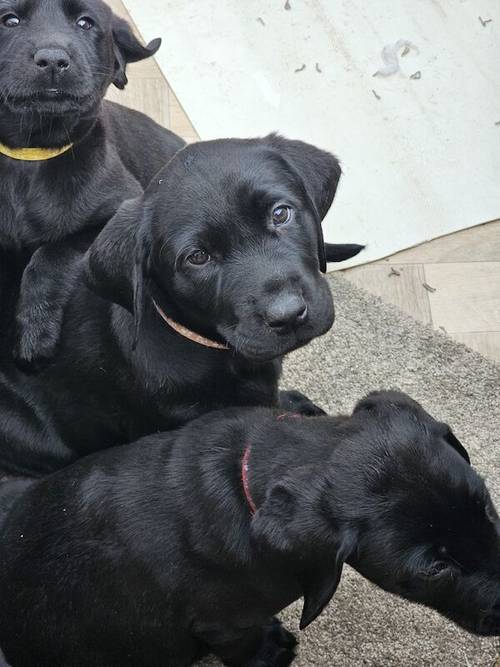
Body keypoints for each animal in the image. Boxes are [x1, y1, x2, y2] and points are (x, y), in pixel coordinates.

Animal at [0, 0, 184, 368]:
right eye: (9, 20)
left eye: (86, 23)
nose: (53, 60)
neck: (28, 155)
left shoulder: (121, 213)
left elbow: (50, 253)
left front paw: (35, 333)